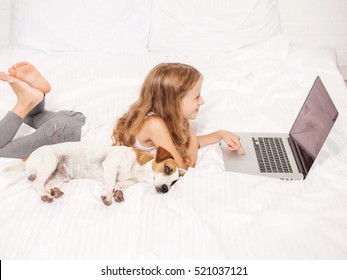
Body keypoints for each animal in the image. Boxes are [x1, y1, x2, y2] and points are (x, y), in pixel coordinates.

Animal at [15, 143, 181, 205]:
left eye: (174, 182)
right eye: (167, 169)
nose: (165, 189)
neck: (137, 170)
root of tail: (27, 157)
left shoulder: (127, 181)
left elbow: (118, 185)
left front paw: (118, 193)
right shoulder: (111, 165)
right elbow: (110, 183)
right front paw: (107, 195)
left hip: (60, 177)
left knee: (47, 185)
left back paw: (54, 192)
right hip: (50, 161)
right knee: (37, 183)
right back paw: (45, 196)